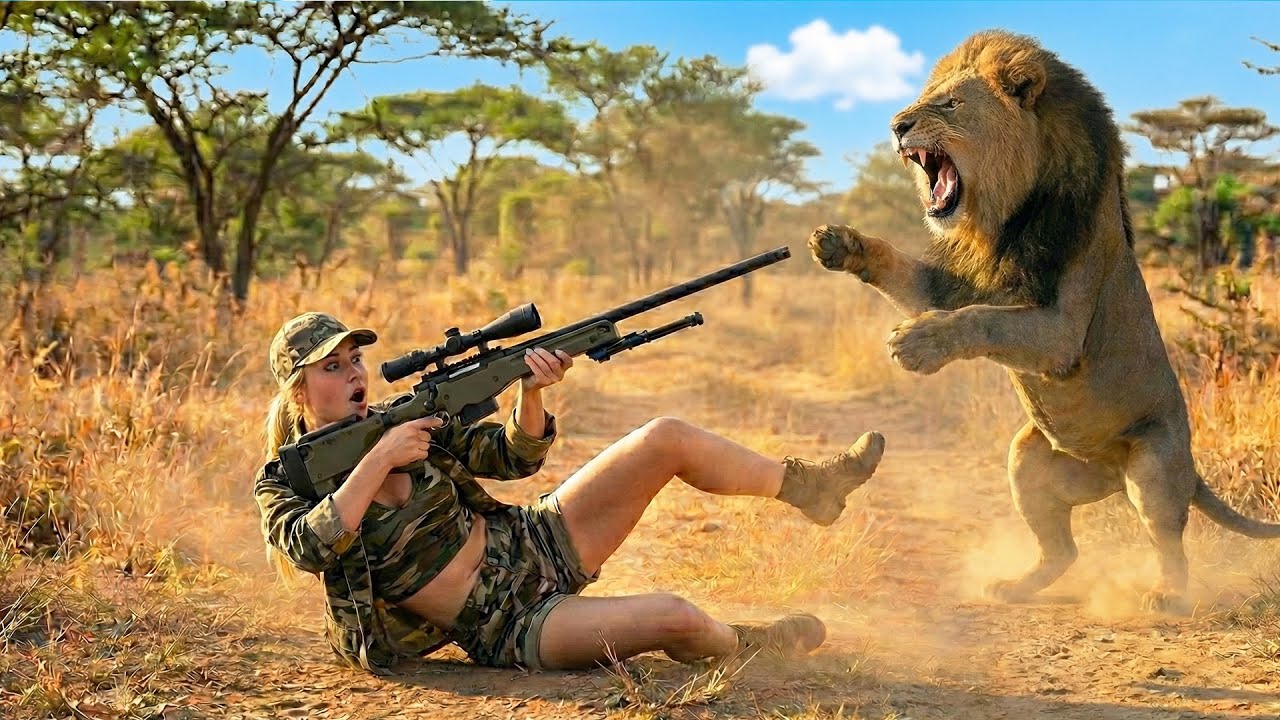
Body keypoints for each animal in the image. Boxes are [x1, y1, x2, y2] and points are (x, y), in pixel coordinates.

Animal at [808, 29, 1280, 611]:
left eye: (950, 104)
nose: (897, 125)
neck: (1006, 217)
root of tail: (1111, 472)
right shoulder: (955, 284)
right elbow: (910, 275)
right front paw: (840, 243)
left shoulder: (1062, 331)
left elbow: (983, 319)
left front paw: (916, 343)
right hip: (1026, 459)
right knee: (1064, 550)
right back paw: (1014, 586)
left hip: (1153, 467)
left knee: (1170, 543)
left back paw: (1166, 594)